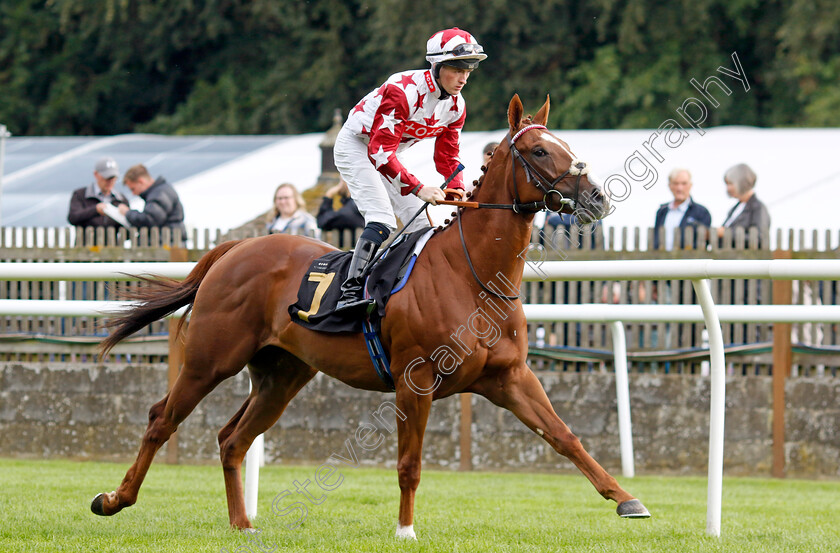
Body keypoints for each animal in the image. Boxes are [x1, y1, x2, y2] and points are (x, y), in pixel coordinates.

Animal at [93, 94, 656, 536]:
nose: (597, 198)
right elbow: (409, 463)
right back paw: (114, 499)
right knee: (161, 419)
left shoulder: (510, 377)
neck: (473, 275)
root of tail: (236, 249)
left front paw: (628, 499)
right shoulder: (417, 379)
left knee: (233, 439)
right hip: (212, 358)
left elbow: (564, 436)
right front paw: (406, 530)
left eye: (568, 147)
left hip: (282, 374)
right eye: (540, 150)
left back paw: (242, 524)